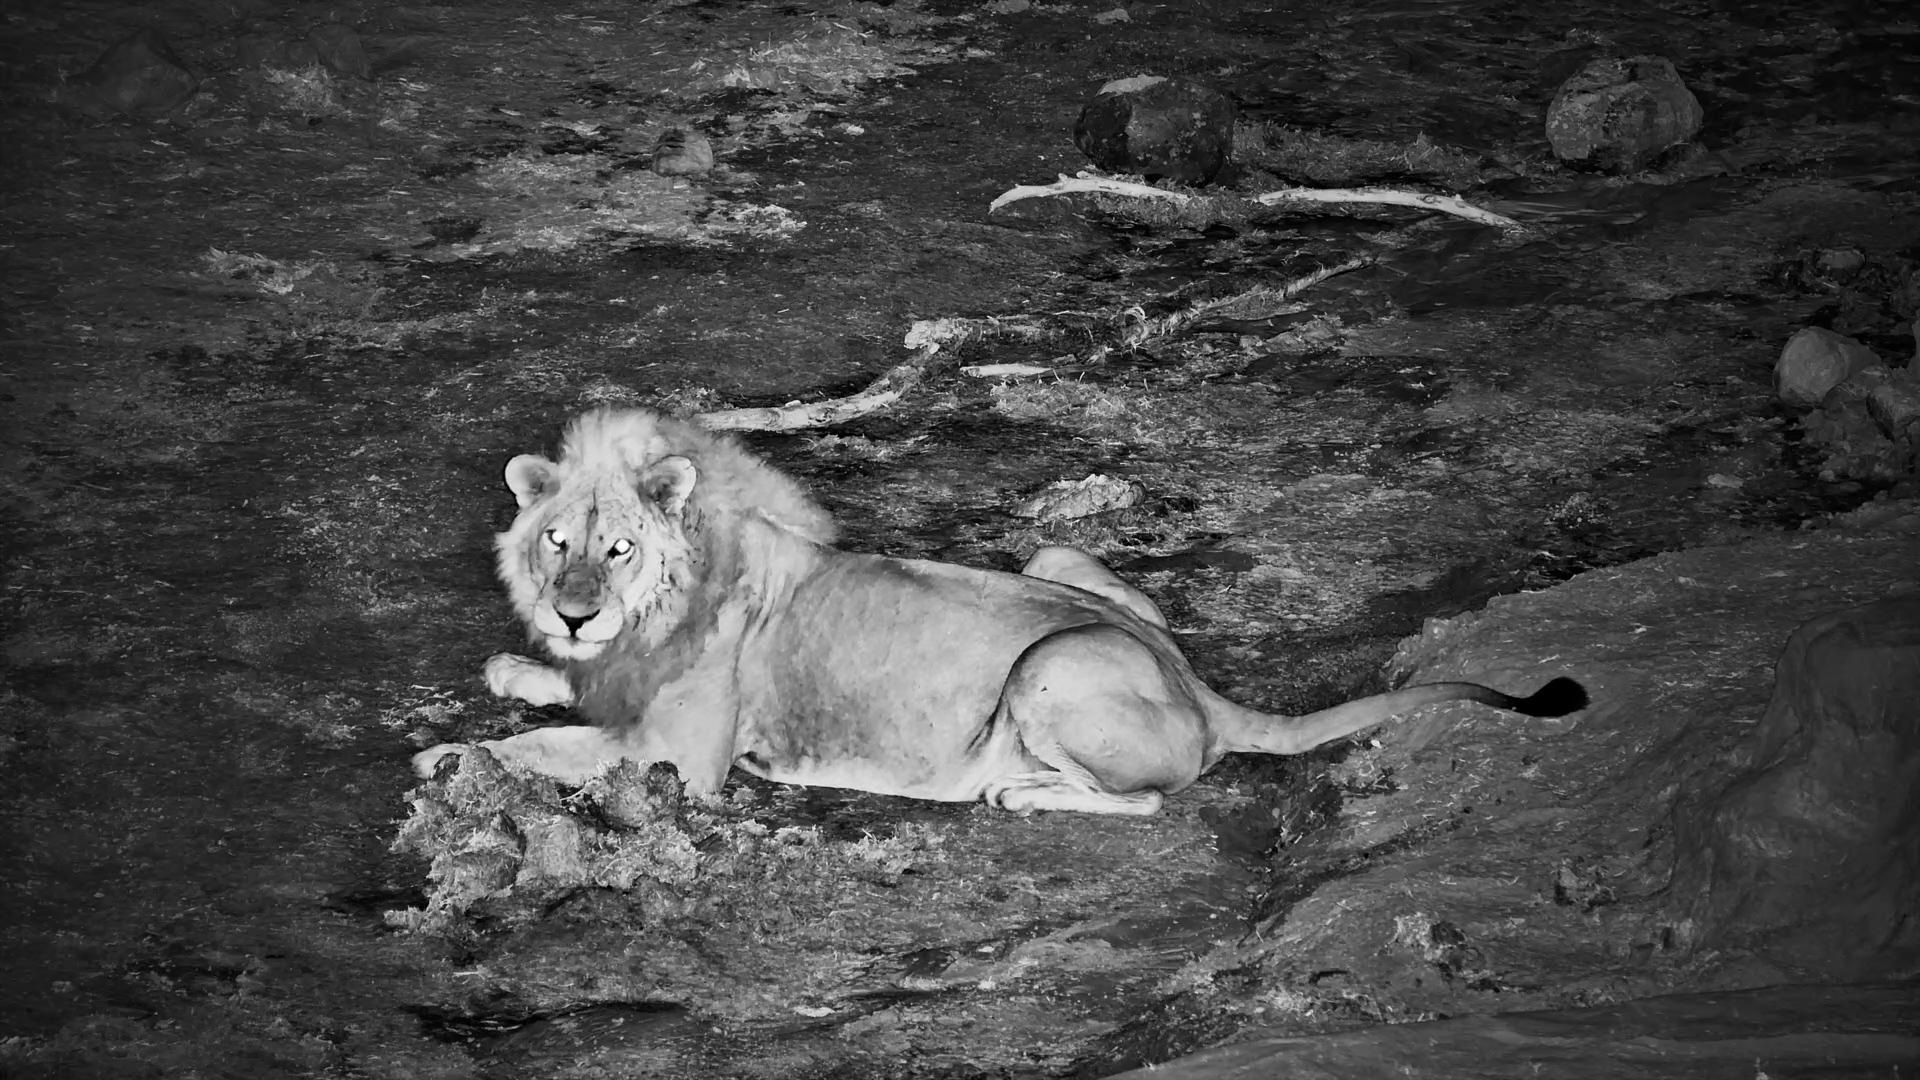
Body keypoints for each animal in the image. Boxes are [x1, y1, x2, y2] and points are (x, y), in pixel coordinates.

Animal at [413, 407, 1587, 815]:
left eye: (618, 548)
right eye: (556, 542)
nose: (573, 615)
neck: (656, 614)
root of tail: (1197, 685)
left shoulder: (678, 758)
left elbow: (552, 748)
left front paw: (451, 757)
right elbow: (561, 700)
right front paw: (520, 671)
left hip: (1049, 667)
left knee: (1147, 800)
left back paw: (1014, 792)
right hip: (1056, 552)